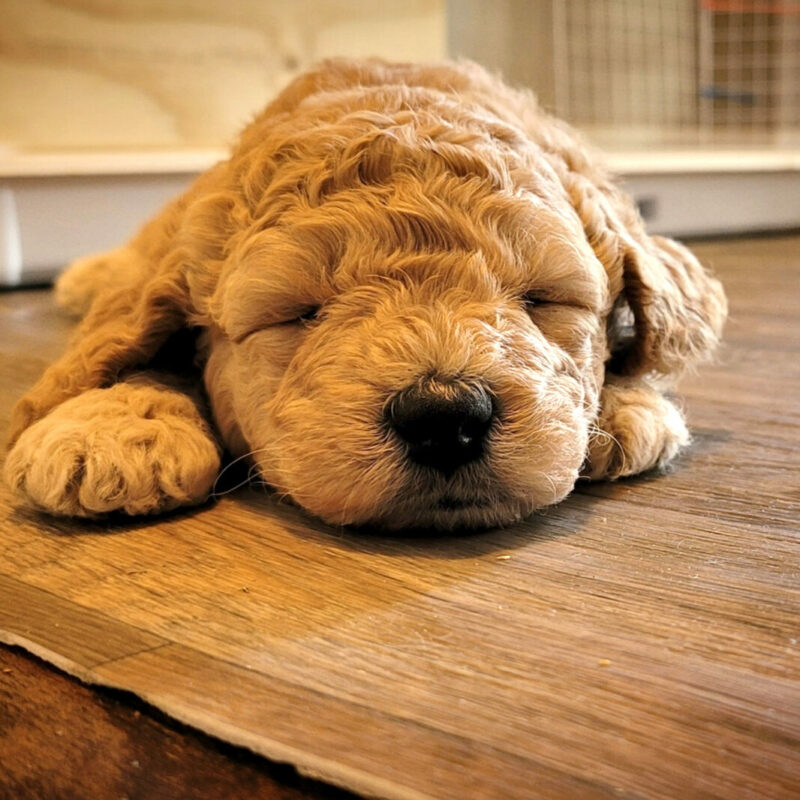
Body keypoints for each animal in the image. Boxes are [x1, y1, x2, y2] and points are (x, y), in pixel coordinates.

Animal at [3, 57, 724, 532]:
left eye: (543, 298)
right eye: (299, 314)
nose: (444, 415)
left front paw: (625, 406)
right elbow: (135, 340)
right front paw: (113, 429)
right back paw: (84, 277)